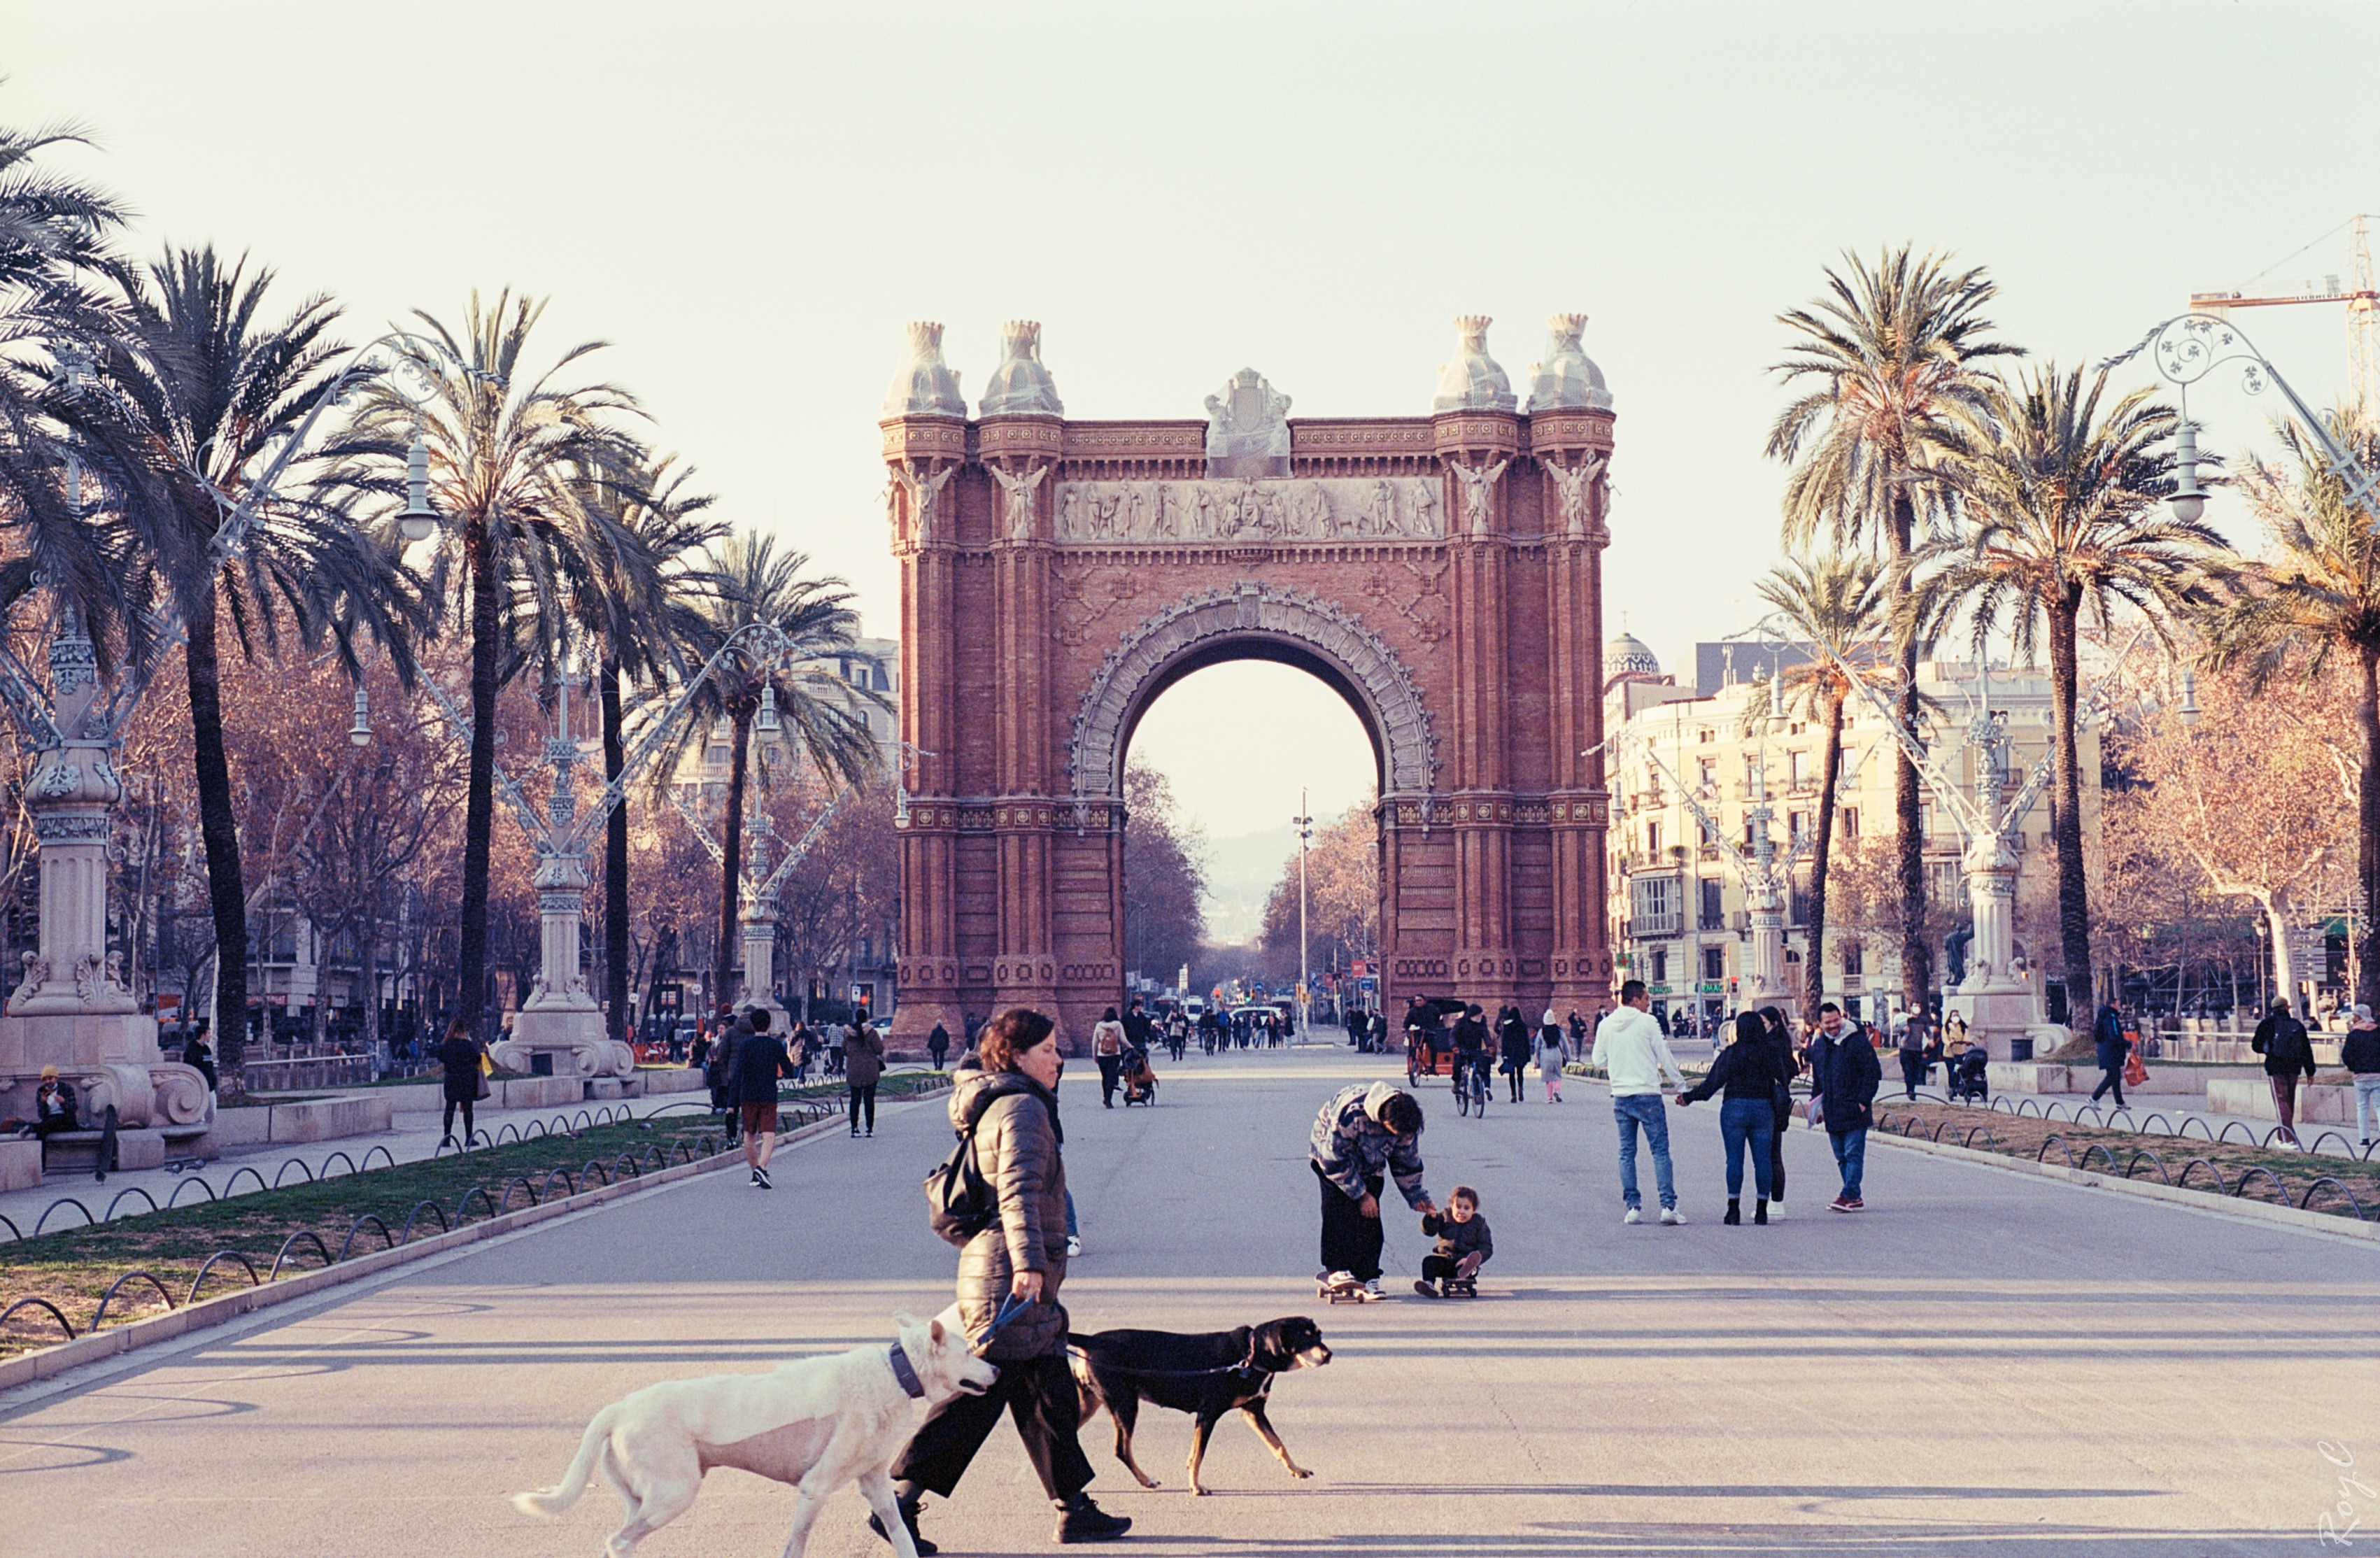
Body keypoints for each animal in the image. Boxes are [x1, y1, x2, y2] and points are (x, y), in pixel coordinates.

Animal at [511, 1312, 995, 1558]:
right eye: (970, 1351)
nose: (996, 1369)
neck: (896, 1372)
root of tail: (620, 1407)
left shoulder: (875, 1484)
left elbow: (900, 1536)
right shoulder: (814, 1489)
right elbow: (795, 1547)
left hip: (646, 1500)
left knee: (623, 1541)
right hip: (674, 1495)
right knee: (617, 1541)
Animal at [1070, 1312, 1333, 1503]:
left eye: (1319, 1335)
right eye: (1306, 1338)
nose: (1330, 1355)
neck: (1251, 1355)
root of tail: (1091, 1340)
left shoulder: (1253, 1412)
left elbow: (1278, 1444)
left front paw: (1296, 1469)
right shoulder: (1208, 1415)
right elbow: (1198, 1456)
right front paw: (1196, 1487)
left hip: (1091, 1404)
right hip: (1125, 1405)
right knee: (1122, 1450)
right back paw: (1146, 1480)